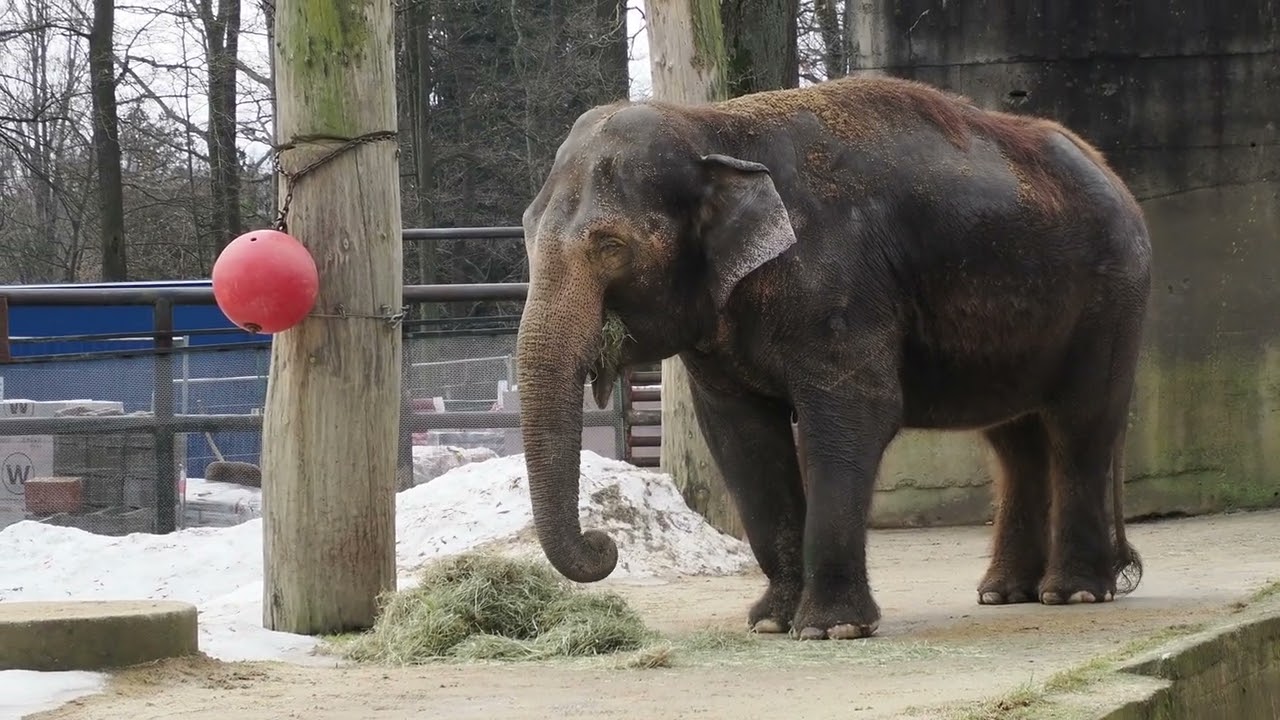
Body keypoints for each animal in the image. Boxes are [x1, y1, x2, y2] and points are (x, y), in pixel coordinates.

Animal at [514, 74, 1150, 641]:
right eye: (525, 232)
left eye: (611, 246)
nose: (605, 544)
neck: (712, 126)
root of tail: (1113, 174)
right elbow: (742, 438)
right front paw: (771, 623)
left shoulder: (840, 281)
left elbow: (853, 417)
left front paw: (831, 629)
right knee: (1016, 440)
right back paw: (1004, 592)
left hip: (1111, 300)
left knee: (1080, 425)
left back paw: (1073, 593)